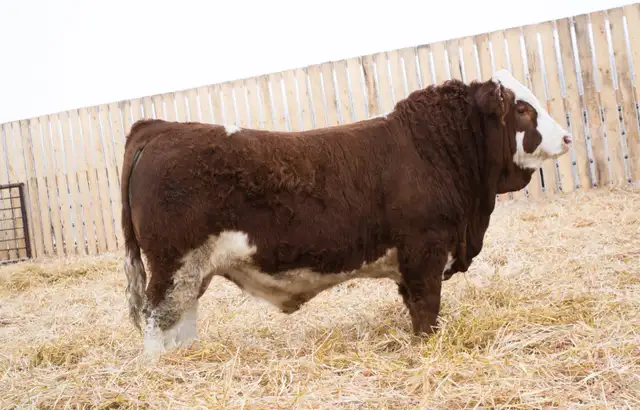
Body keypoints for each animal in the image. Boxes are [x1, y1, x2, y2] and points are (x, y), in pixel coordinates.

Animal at [120, 69, 572, 358]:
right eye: (522, 109)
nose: (567, 136)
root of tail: (158, 127)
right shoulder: (425, 251)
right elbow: (427, 312)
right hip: (172, 264)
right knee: (156, 320)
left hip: (189, 271)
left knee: (181, 318)